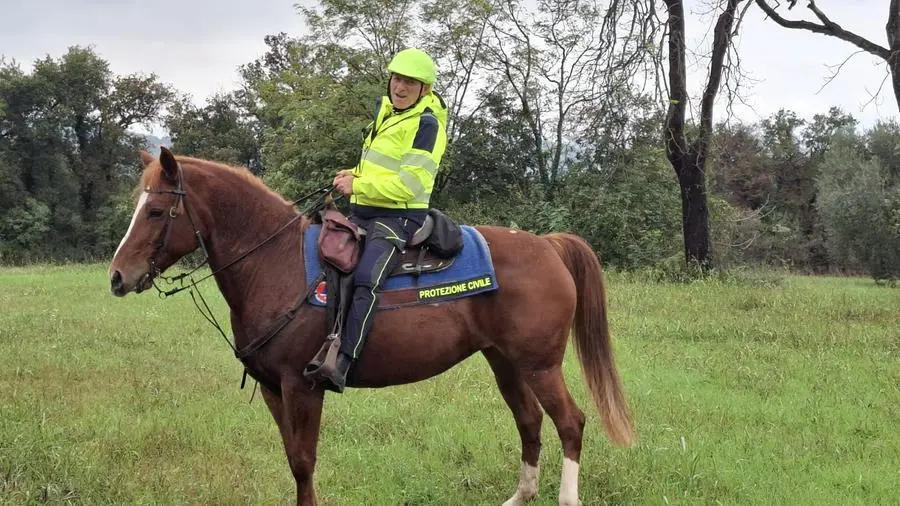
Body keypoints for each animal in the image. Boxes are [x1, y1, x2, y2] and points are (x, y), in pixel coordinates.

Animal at [109, 147, 636, 506]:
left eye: (156, 211)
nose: (118, 277)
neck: (275, 263)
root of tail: (548, 245)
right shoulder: (274, 390)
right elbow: (292, 458)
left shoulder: (303, 387)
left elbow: (304, 462)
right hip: (504, 362)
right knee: (529, 422)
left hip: (540, 364)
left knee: (570, 423)